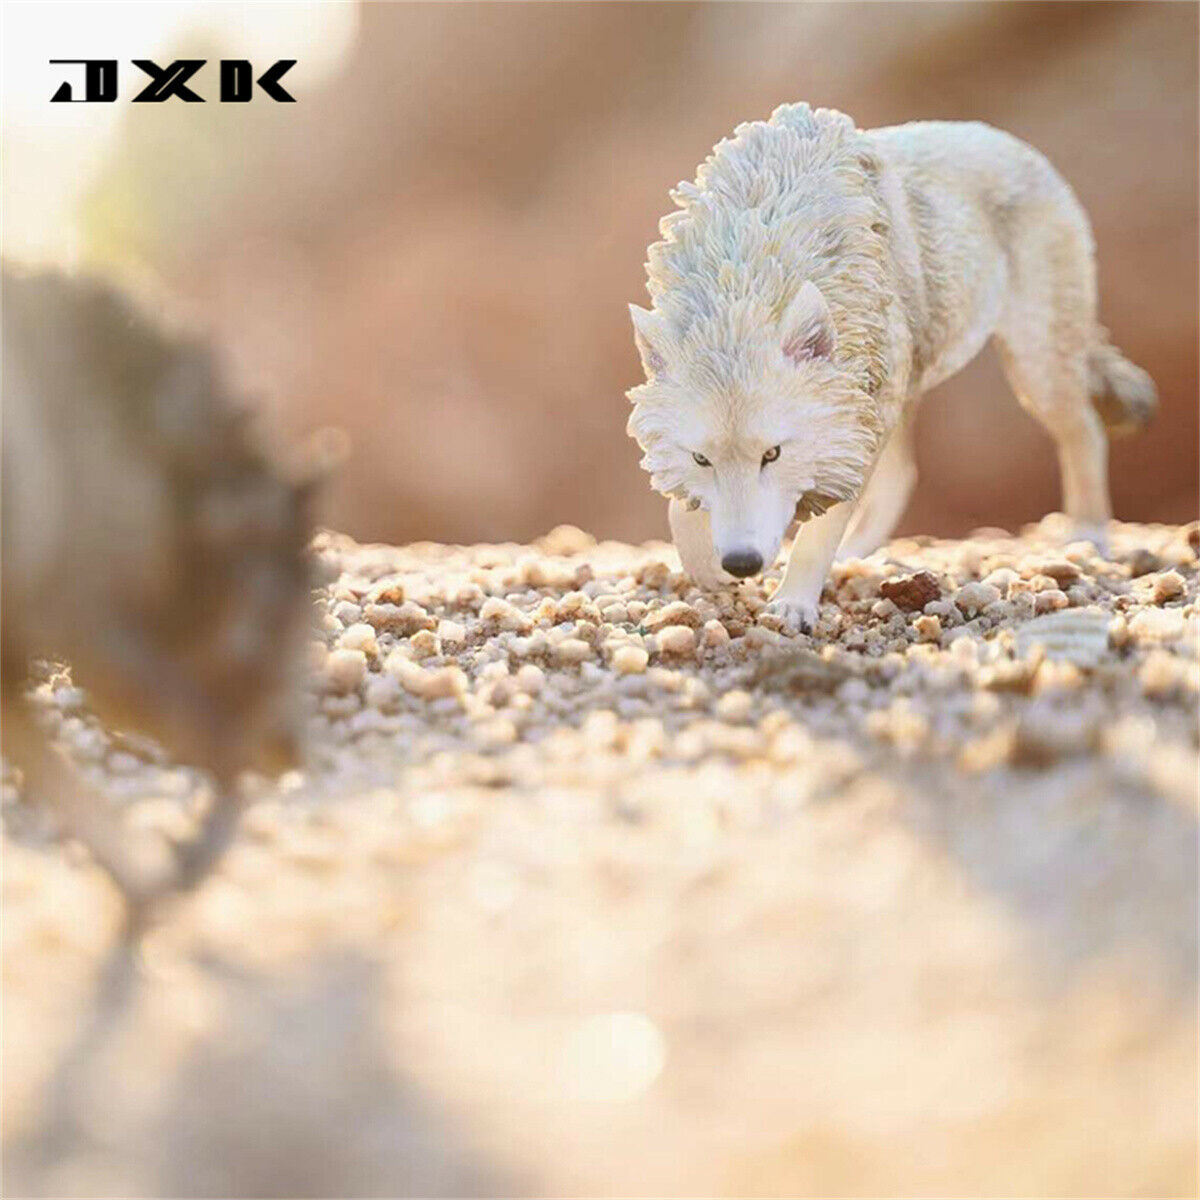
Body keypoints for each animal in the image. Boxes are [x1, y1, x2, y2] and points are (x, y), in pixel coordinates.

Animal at [627, 103, 1155, 632]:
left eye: (773, 454)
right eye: (701, 459)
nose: (742, 563)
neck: (755, 266)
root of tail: (1017, 146)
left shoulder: (847, 428)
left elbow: (818, 532)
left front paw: (793, 602)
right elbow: (680, 510)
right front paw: (706, 567)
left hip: (1033, 366)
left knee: (1084, 433)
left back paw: (1088, 535)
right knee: (903, 474)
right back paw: (855, 555)